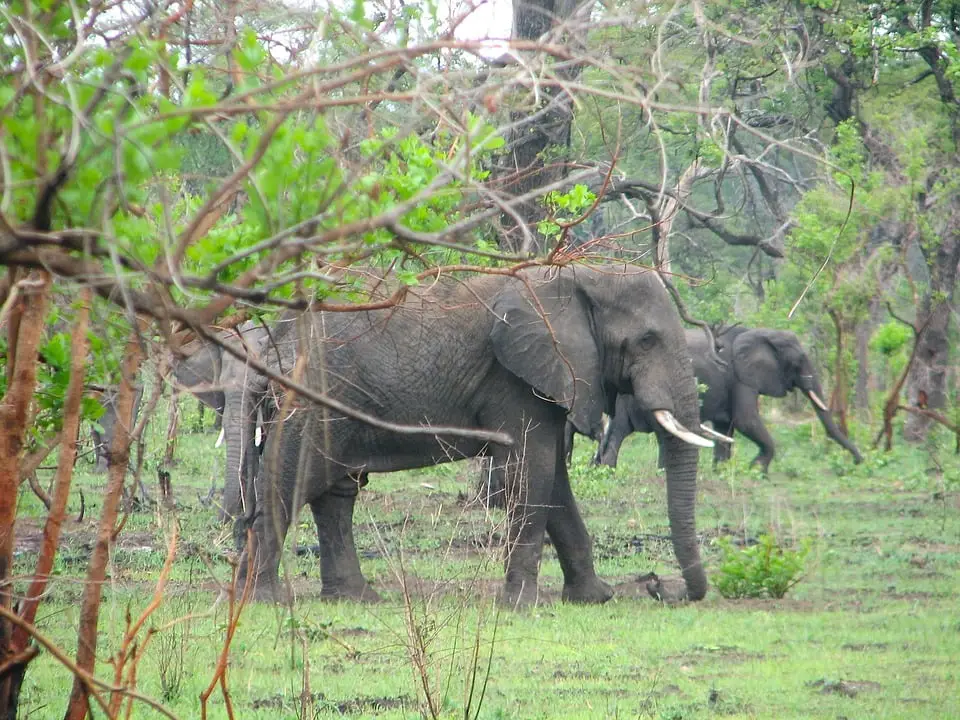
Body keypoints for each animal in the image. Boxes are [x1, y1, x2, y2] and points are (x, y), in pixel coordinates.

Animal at [236, 264, 713, 607]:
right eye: (647, 340)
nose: (658, 586)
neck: (578, 277)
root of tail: (273, 342)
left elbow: (553, 482)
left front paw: (593, 599)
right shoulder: (516, 378)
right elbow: (532, 472)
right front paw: (524, 607)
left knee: (335, 494)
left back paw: (356, 599)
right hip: (310, 400)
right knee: (290, 483)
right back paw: (263, 600)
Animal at [596, 325, 863, 472]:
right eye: (797, 361)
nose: (858, 461)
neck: (761, 332)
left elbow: (727, 426)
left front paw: (722, 471)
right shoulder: (740, 377)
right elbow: (746, 420)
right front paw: (757, 470)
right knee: (627, 432)